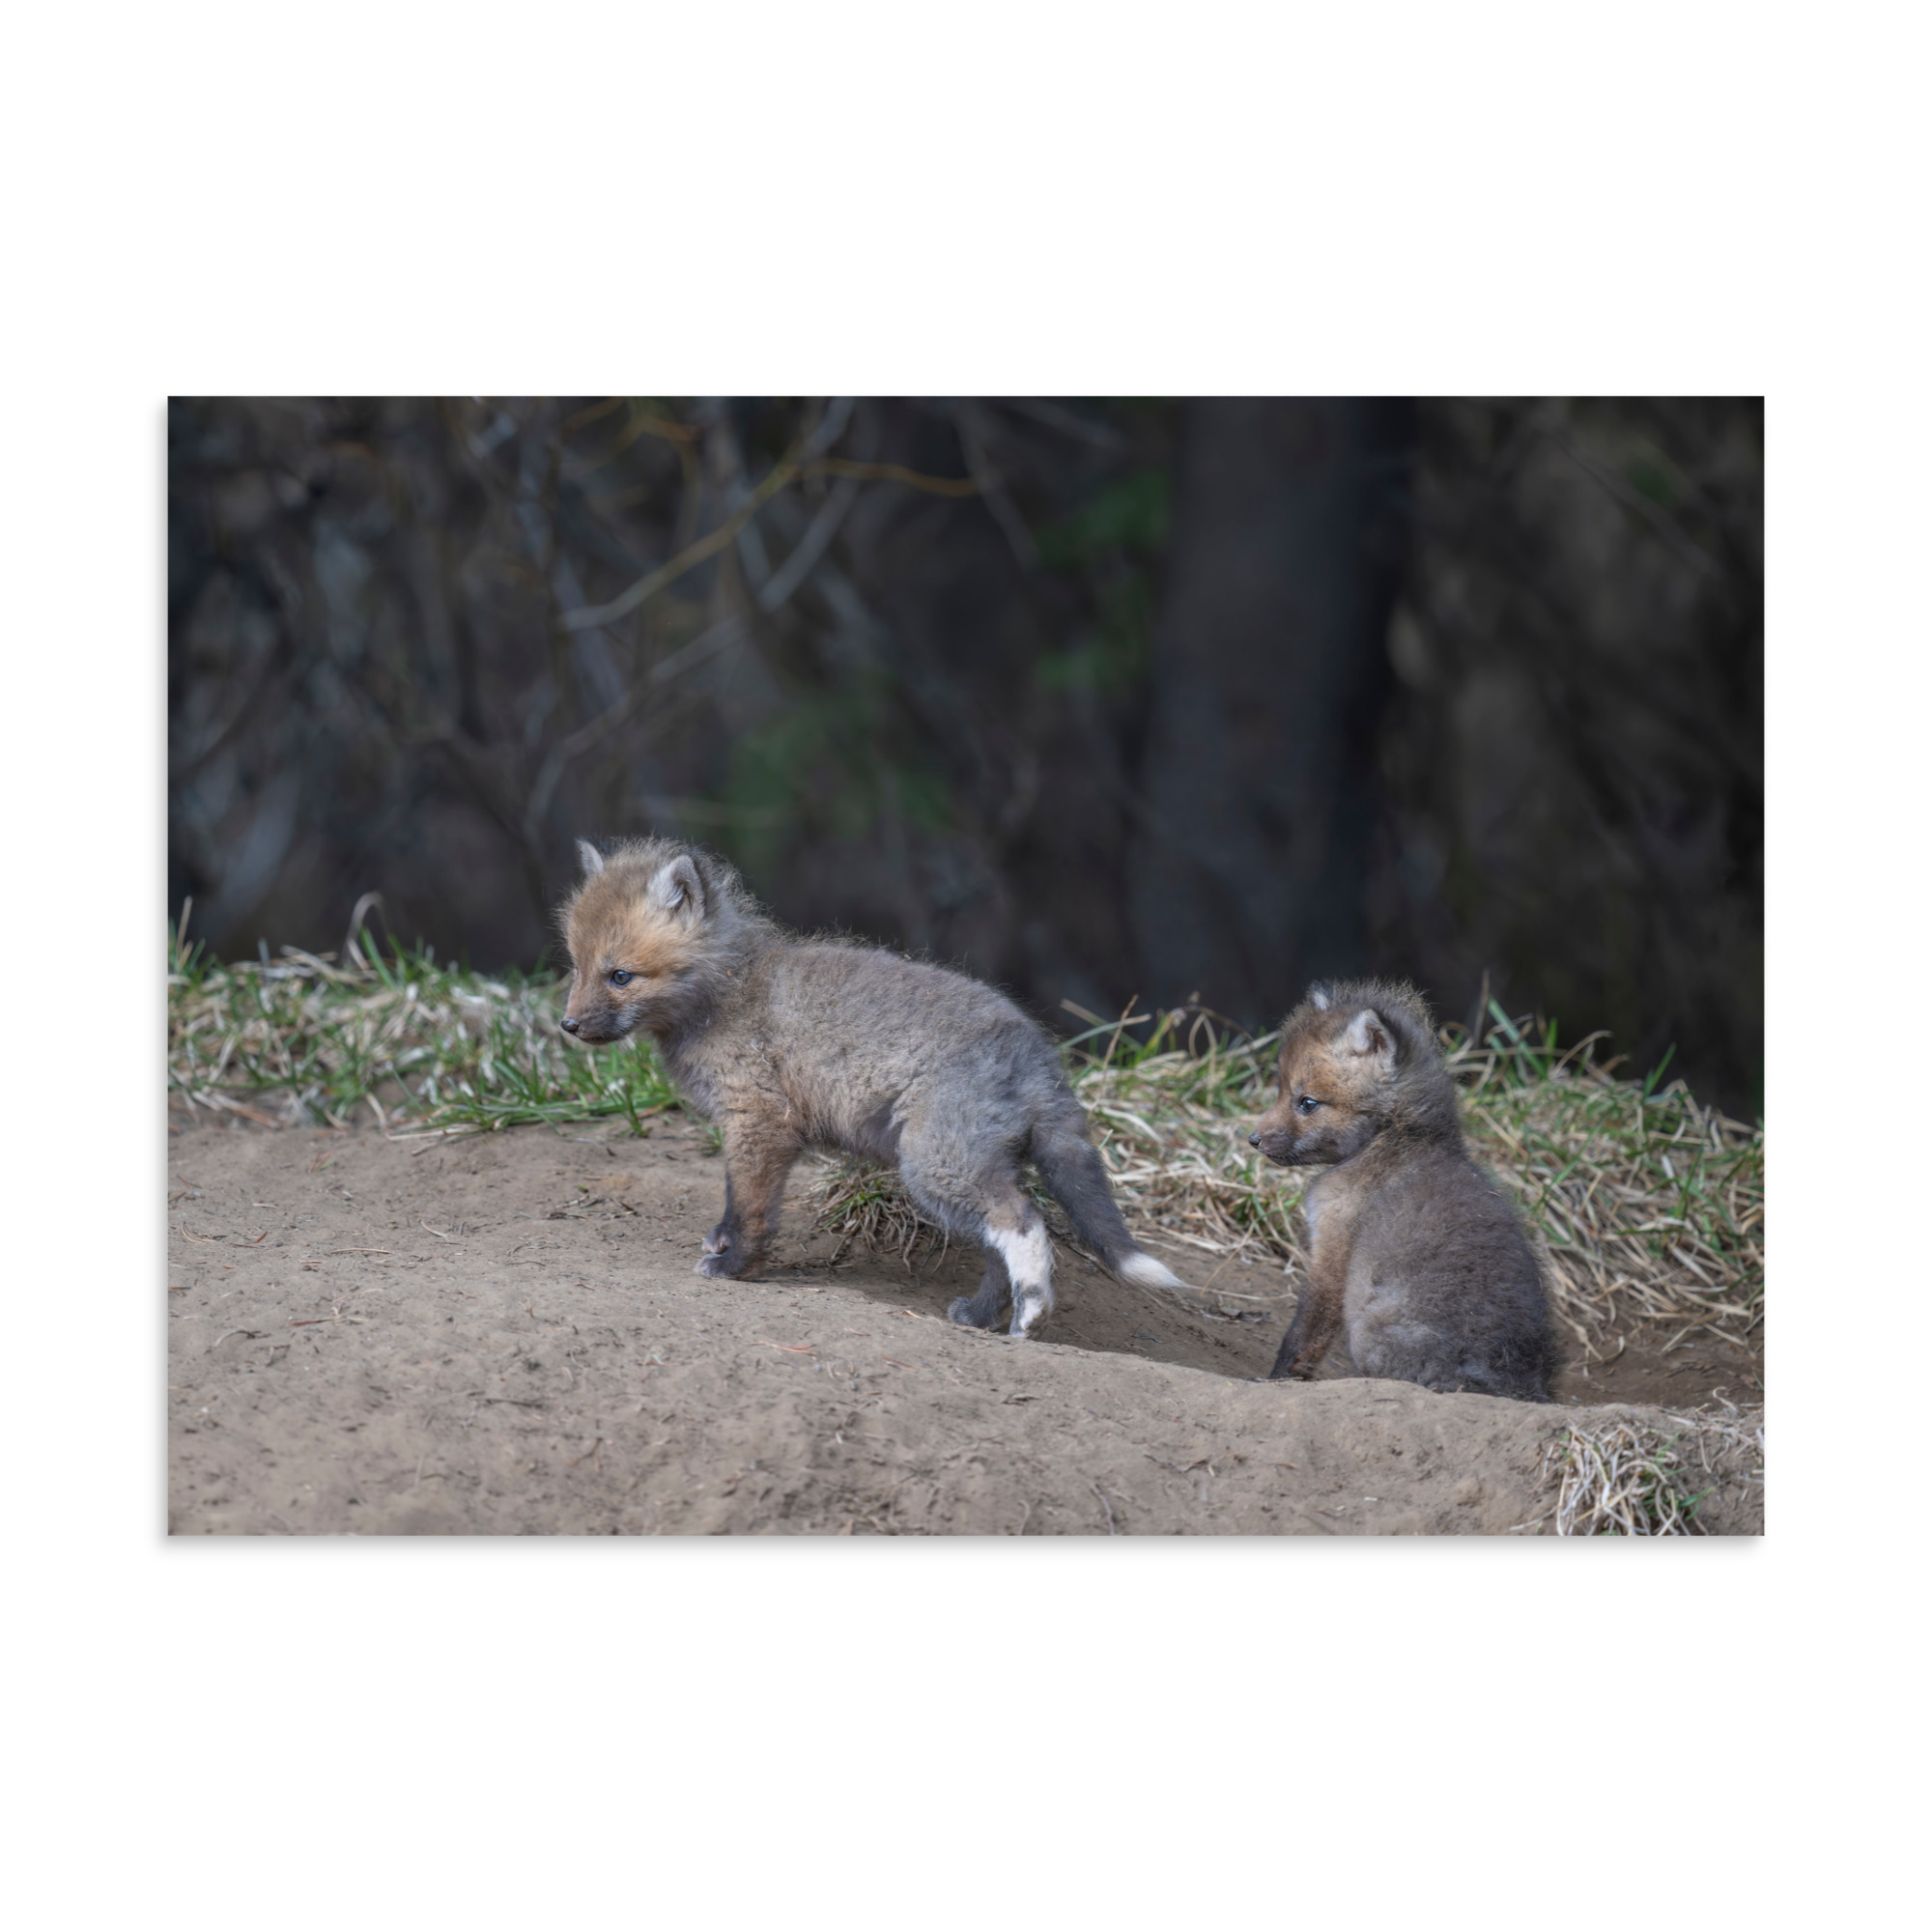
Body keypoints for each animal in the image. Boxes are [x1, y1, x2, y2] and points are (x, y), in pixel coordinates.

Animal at [558, 836, 1189, 1337]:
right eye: (576, 967)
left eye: (621, 976)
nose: (567, 1026)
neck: (727, 992)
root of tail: (1039, 1055)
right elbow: (735, 1199)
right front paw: (723, 1243)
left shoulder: (759, 1121)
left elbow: (751, 1207)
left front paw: (735, 1265)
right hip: (965, 1170)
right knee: (997, 1244)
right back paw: (982, 1316)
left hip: (935, 1165)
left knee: (1024, 1221)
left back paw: (1032, 1314)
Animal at [1249, 979, 1559, 1401]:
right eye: (1281, 1091)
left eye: (1307, 1103)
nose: (1253, 1140)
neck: (1394, 1138)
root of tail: (1515, 1385)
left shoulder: (1333, 1251)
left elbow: (1303, 1335)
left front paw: (1276, 1381)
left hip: (1369, 1333)